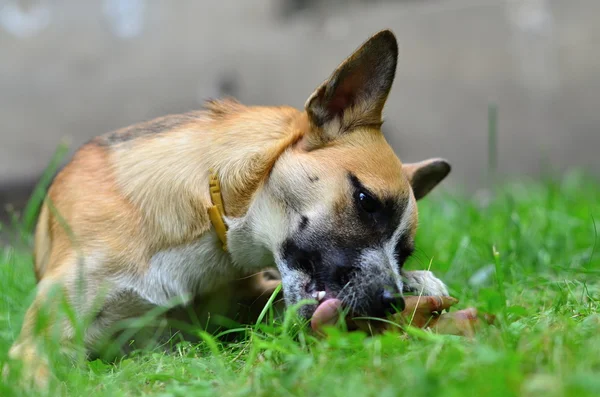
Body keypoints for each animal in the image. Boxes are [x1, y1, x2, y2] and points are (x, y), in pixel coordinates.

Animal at [7, 28, 450, 386]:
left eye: (403, 251)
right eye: (366, 201)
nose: (389, 302)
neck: (208, 214)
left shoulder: (240, 305)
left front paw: (413, 280)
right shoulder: (41, 343)